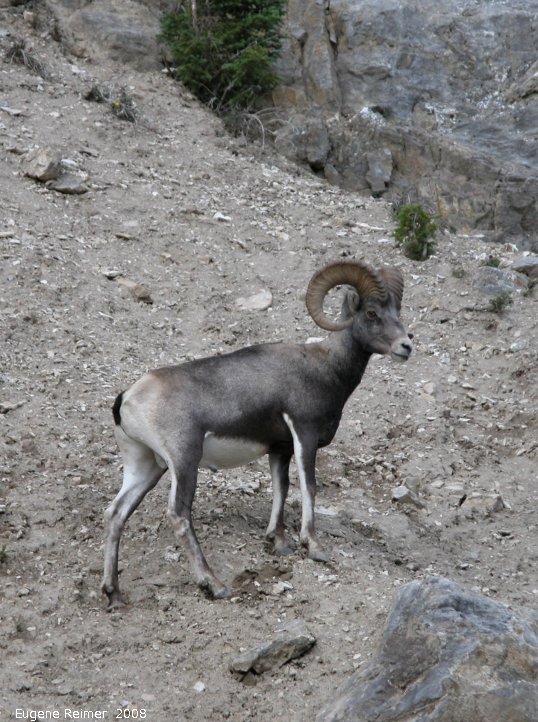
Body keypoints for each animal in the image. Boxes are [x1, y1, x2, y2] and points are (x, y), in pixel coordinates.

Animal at [102, 260, 413, 608]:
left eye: (397, 310)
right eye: (371, 313)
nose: (406, 346)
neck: (325, 367)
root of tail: (128, 398)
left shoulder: (280, 449)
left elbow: (281, 488)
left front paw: (278, 543)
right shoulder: (304, 434)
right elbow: (309, 487)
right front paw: (314, 547)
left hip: (146, 467)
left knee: (116, 514)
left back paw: (113, 594)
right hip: (184, 461)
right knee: (179, 515)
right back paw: (214, 585)